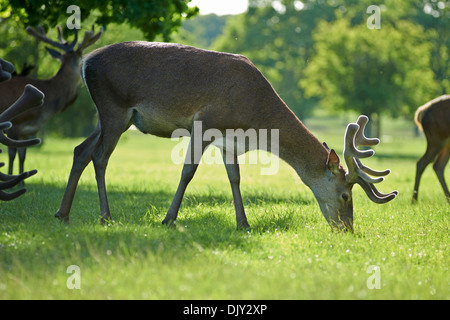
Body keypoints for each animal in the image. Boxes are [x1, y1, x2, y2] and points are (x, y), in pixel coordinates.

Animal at [0, 24, 102, 178]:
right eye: (81, 57)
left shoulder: (28, 130)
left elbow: (23, 155)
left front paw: (23, 180)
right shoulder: (15, 123)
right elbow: (12, 154)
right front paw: (13, 178)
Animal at [53, 42, 398, 231]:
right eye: (345, 195)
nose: (347, 229)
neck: (255, 121)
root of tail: (85, 62)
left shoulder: (230, 141)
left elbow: (235, 178)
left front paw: (243, 223)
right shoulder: (203, 123)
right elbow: (188, 171)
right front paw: (168, 219)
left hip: (111, 116)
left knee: (80, 150)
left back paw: (62, 214)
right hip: (113, 107)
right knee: (100, 156)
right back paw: (105, 216)